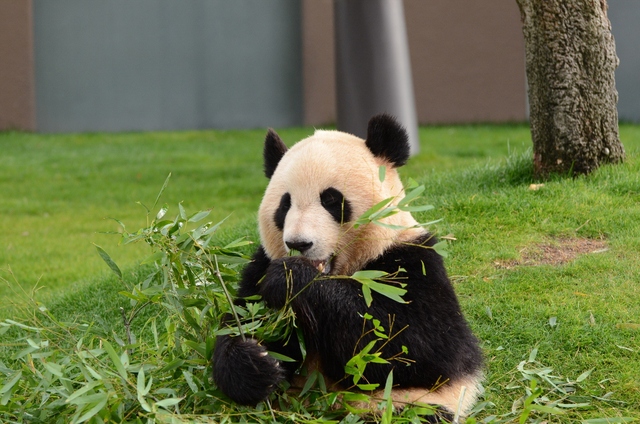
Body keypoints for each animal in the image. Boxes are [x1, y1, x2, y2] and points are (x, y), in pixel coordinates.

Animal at [212, 113, 482, 420]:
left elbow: (417, 347)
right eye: (284, 204)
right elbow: (240, 322)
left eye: (330, 199)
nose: (298, 243)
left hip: (404, 404)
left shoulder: (413, 262)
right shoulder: (259, 266)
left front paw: (290, 278)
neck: (343, 271)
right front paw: (257, 364)